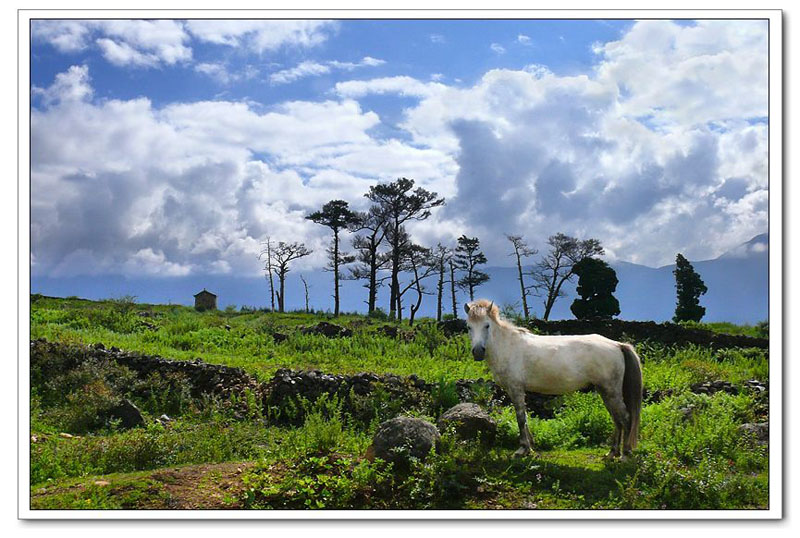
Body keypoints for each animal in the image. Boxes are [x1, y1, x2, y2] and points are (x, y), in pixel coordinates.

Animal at [462, 298, 644, 456]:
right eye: (469, 327)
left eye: (487, 325)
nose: (478, 352)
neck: (508, 346)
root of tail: (617, 345)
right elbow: (525, 417)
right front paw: (530, 445)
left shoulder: (516, 389)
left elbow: (520, 418)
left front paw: (523, 449)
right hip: (605, 391)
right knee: (617, 419)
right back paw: (612, 453)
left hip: (610, 391)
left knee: (625, 418)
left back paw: (625, 454)